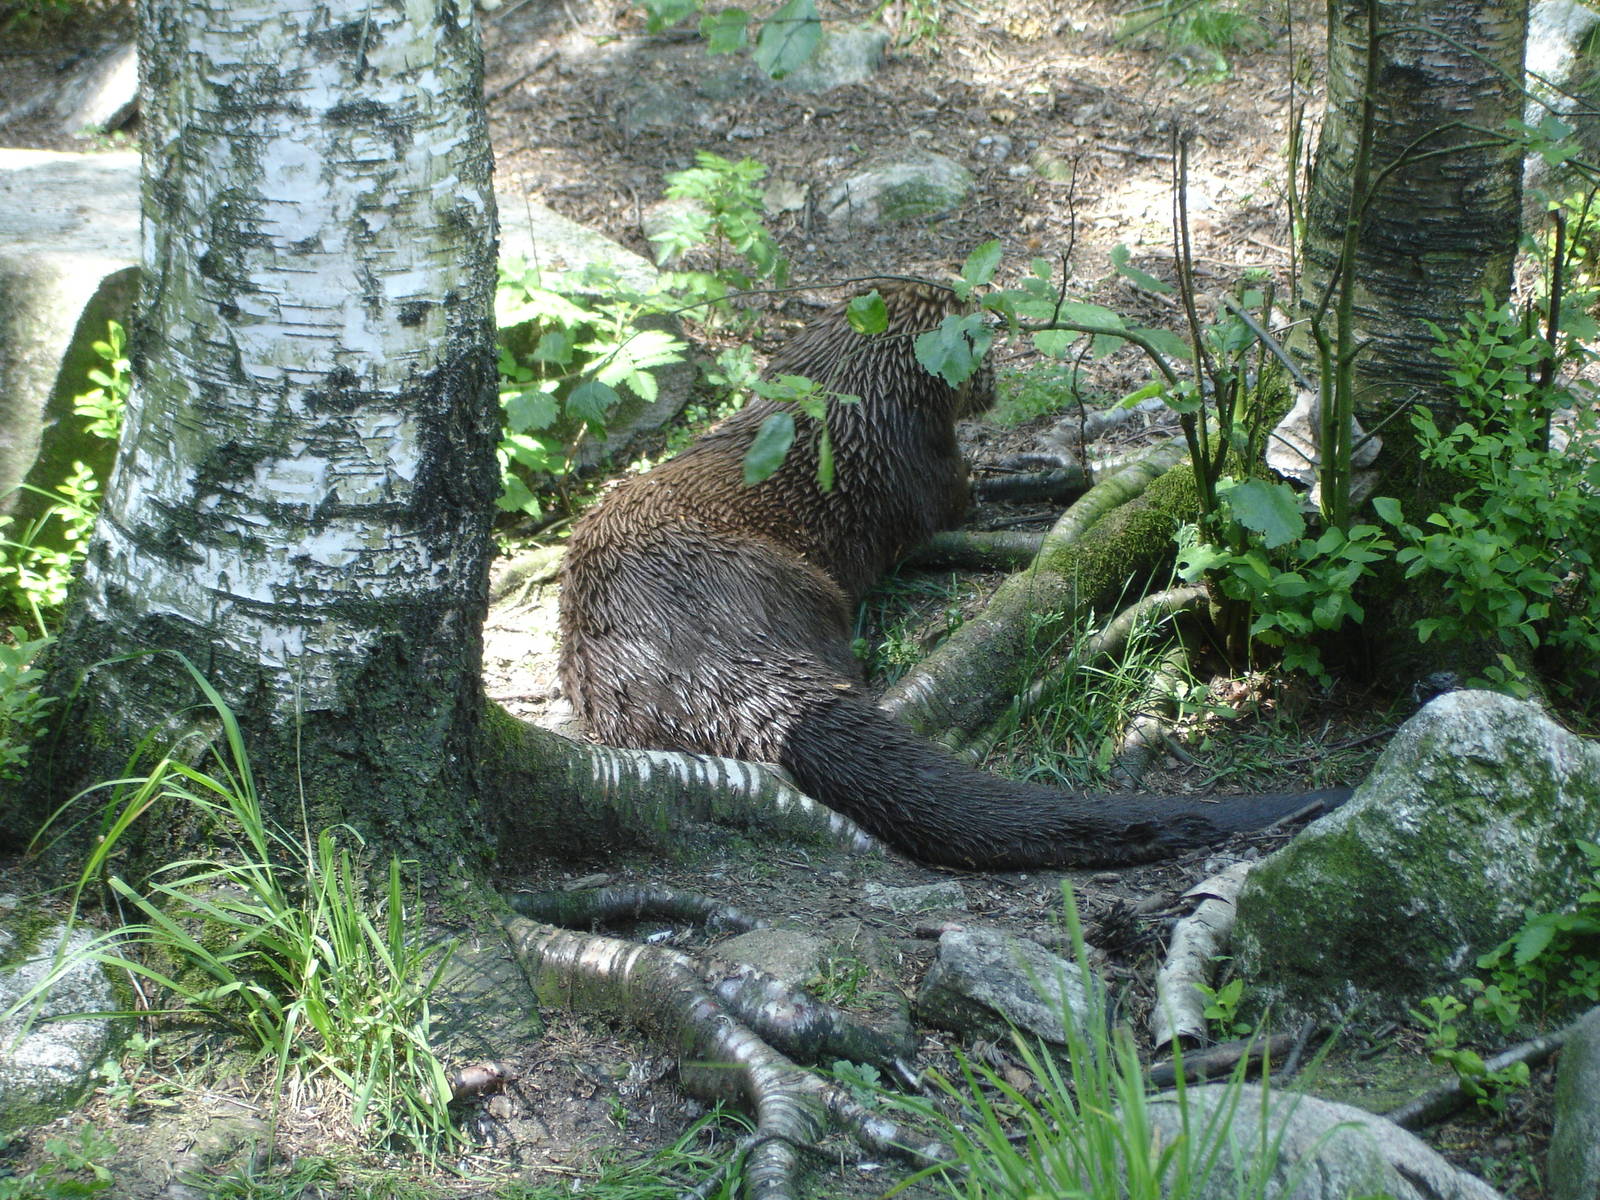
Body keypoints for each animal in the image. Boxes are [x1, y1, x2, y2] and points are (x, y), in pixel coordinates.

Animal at [557, 280, 1349, 869]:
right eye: (986, 348)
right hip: (789, 585)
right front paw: (1064, 471)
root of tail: (690, 658)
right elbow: (973, 496)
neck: (847, 404)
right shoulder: (935, 468)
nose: (995, 381)